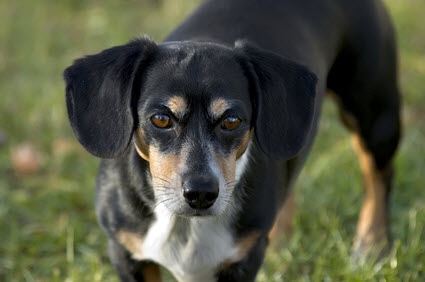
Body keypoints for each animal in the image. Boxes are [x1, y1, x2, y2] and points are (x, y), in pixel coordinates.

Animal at [63, 0, 400, 280]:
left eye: (232, 120)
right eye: (160, 119)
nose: (200, 193)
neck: (186, 225)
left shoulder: (240, 264)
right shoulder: (127, 255)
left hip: (375, 115)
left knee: (378, 177)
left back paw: (372, 247)